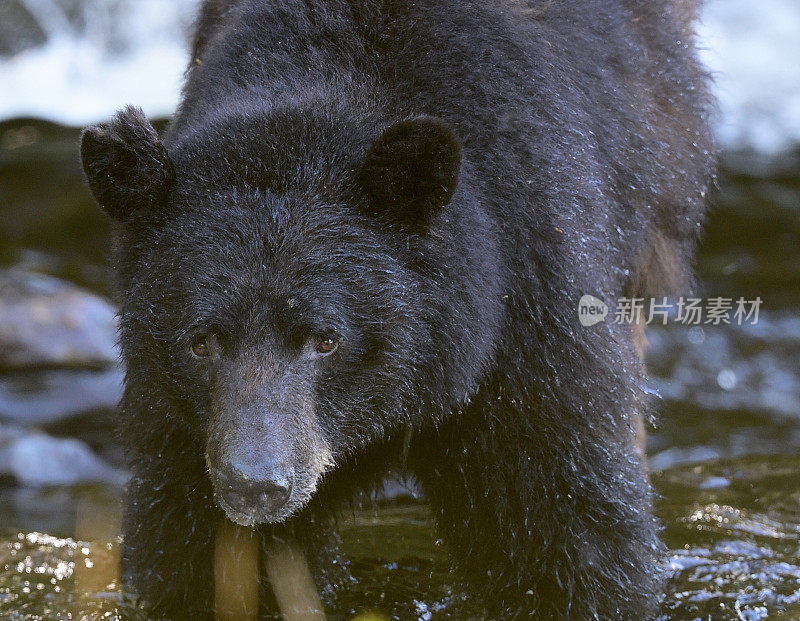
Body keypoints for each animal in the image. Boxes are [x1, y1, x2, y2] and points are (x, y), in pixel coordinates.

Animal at [81, 0, 716, 616]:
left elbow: (562, 523)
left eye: (325, 338)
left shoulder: (529, 292)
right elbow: (188, 546)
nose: (256, 485)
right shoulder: (185, 423)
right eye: (202, 340)